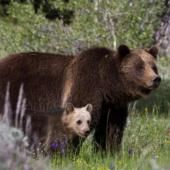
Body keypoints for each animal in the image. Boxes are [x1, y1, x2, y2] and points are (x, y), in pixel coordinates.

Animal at [0, 44, 161, 153]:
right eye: (140, 66)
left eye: (153, 66)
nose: (156, 79)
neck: (106, 85)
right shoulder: (85, 83)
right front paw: (62, 152)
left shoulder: (113, 106)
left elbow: (111, 129)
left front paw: (108, 152)